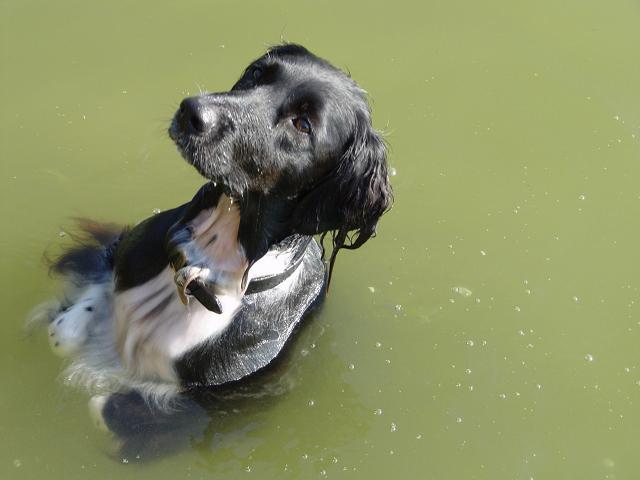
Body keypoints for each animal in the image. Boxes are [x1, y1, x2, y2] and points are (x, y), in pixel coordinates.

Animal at [40, 44, 392, 454]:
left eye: (303, 124)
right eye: (256, 73)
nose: (192, 111)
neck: (202, 260)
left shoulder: (214, 400)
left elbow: (119, 411)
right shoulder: (125, 254)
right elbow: (73, 323)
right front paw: (68, 324)